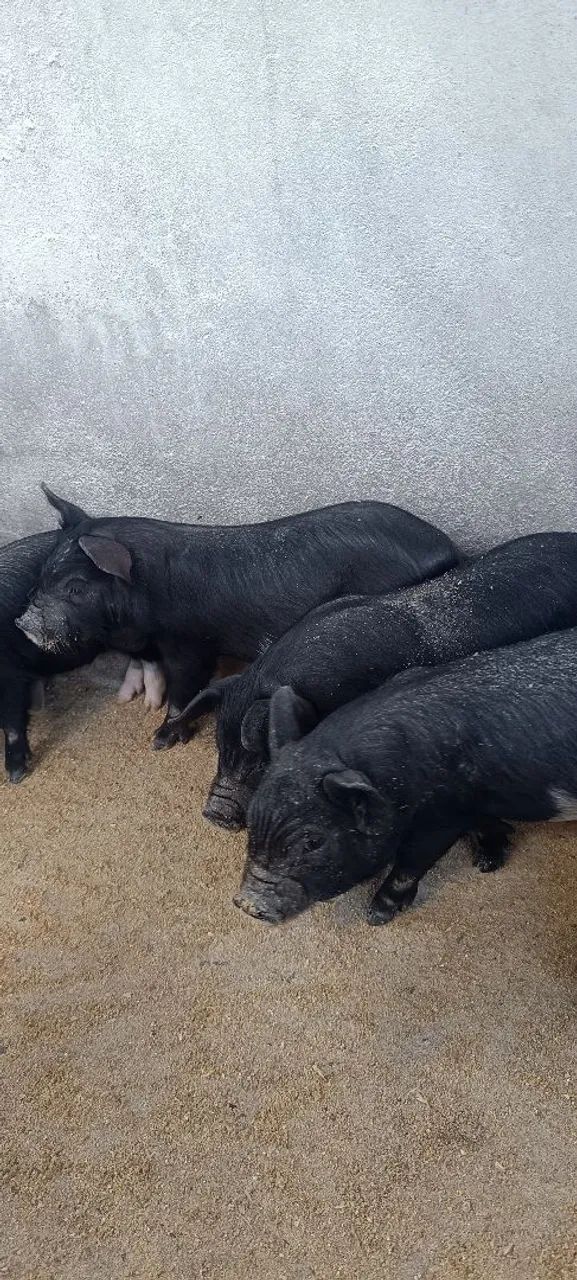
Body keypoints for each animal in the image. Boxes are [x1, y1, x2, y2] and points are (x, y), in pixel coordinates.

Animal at [17, 489, 458, 750]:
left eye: (76, 587)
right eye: (44, 574)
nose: (23, 623)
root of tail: (447, 546)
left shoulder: (190, 644)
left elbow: (186, 687)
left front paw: (160, 740)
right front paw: (137, 702)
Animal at [237, 625, 577, 925]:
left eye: (312, 842)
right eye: (253, 816)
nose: (246, 903)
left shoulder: (441, 818)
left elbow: (411, 861)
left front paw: (375, 916)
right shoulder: (468, 804)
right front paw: (486, 863)